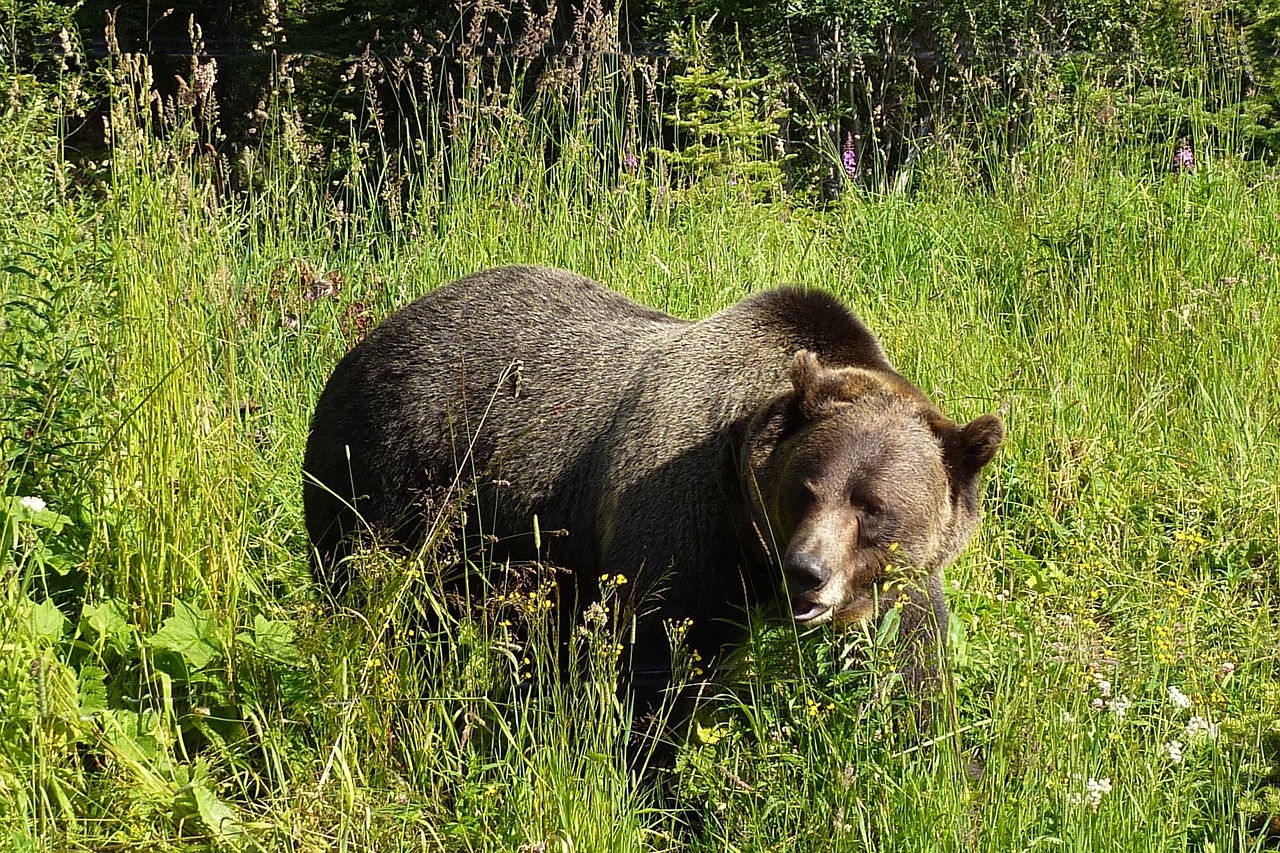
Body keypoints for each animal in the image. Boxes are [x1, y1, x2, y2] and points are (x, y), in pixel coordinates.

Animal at [304, 267, 1003, 696]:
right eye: (804, 490)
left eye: (872, 507)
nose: (807, 571)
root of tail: (370, 336)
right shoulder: (684, 521)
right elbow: (660, 660)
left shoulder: (898, 581)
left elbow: (914, 661)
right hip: (390, 474)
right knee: (370, 587)